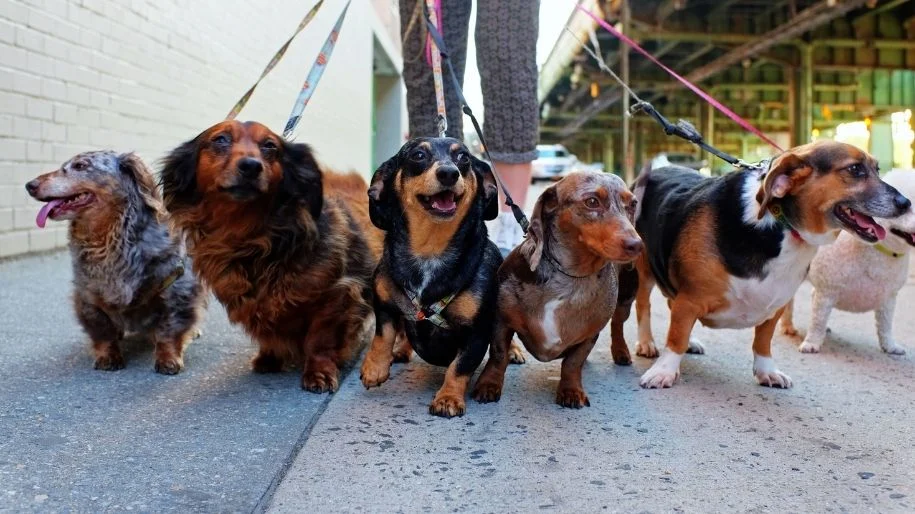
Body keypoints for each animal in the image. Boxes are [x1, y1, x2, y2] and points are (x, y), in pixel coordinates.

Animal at [780, 168, 915, 352]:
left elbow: (885, 327)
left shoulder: (888, 300)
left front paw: (890, 346)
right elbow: (818, 321)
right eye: (907, 207)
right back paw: (787, 327)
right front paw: (812, 343)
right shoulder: (826, 292)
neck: (877, 248)